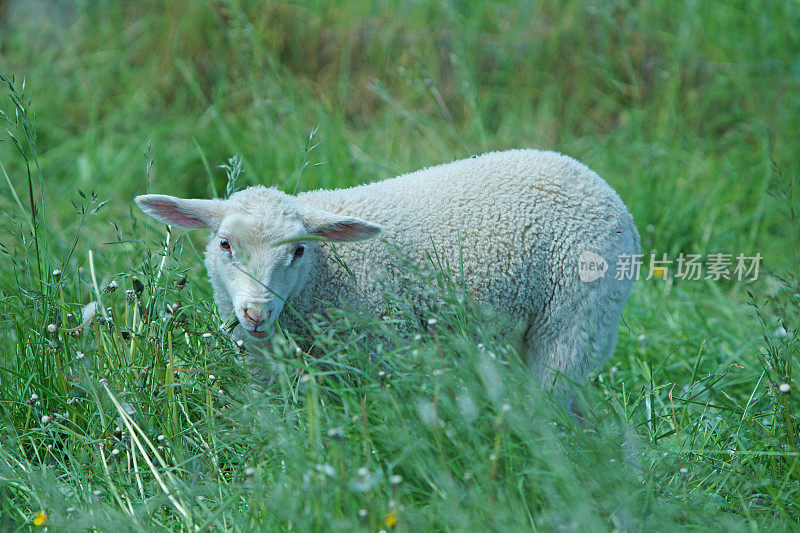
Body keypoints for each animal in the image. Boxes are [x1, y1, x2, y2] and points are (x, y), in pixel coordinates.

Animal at [136, 150, 636, 386]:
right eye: (224, 245)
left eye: (297, 251)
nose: (257, 314)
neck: (323, 278)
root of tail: (592, 178)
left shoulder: (374, 350)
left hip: (576, 319)